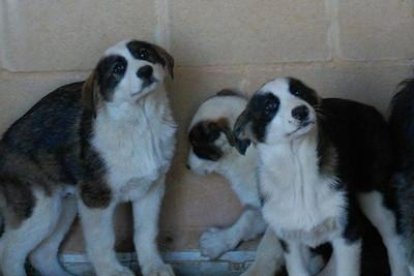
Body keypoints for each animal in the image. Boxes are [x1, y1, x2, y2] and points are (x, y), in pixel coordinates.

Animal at [0, 39, 176, 276]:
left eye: (144, 53)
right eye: (118, 69)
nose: (145, 70)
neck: (142, 122)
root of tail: (3, 142)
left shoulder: (151, 190)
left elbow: (146, 232)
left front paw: (153, 267)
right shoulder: (96, 199)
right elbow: (102, 241)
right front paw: (113, 272)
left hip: (65, 206)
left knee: (41, 253)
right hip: (40, 208)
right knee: (9, 252)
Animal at [234, 77, 410, 276]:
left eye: (299, 92)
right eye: (269, 106)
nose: (301, 111)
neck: (299, 170)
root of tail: (371, 109)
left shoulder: (347, 232)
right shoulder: (291, 242)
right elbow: (297, 270)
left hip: (375, 195)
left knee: (393, 239)